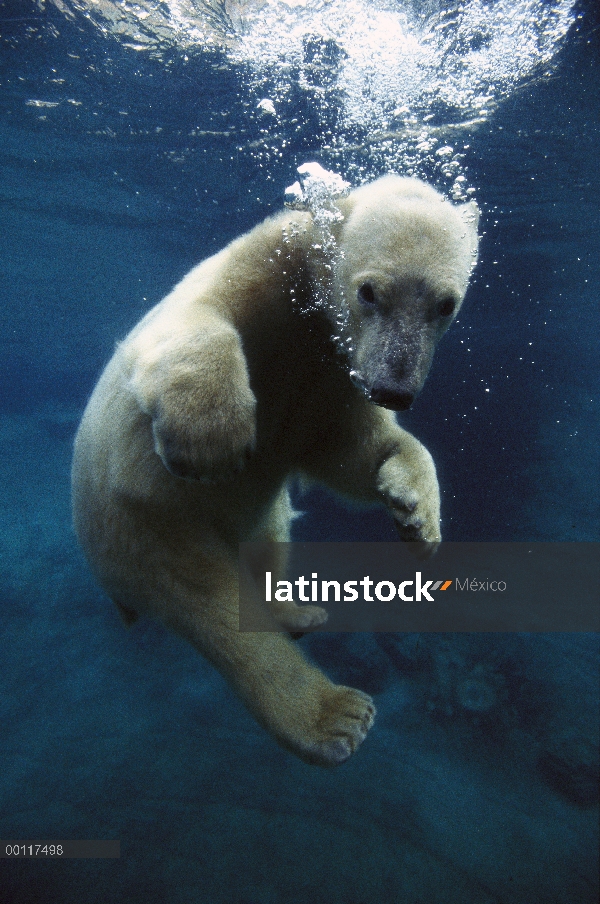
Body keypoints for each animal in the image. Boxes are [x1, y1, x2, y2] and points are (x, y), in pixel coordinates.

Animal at [72, 175, 480, 764]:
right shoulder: (256, 276)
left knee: (271, 537)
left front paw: (417, 514)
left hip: (245, 519)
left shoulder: (332, 373)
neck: (307, 315)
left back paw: (299, 613)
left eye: (446, 304)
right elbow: (190, 321)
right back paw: (333, 717)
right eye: (369, 292)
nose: (394, 388)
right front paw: (212, 442)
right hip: (145, 529)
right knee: (216, 610)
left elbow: (349, 450)